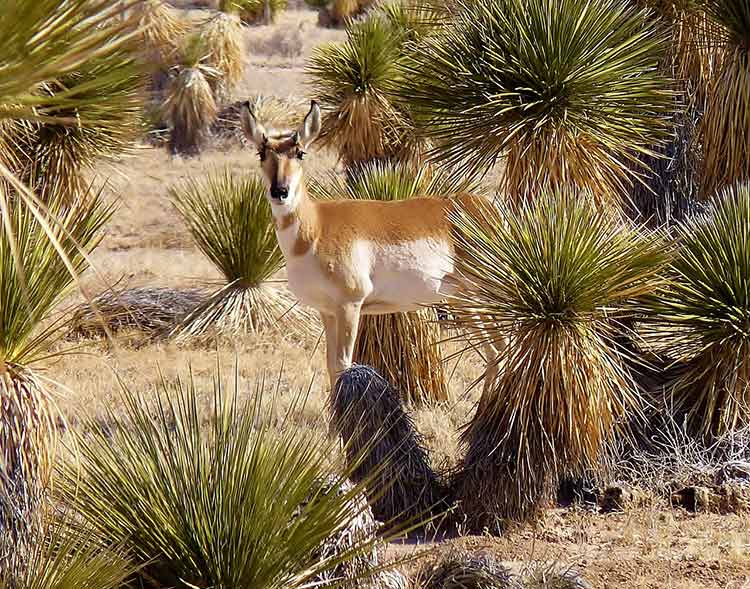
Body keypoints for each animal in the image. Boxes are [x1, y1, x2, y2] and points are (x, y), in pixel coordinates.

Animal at [241, 101, 502, 396]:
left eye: (300, 152)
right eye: (262, 152)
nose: (280, 191)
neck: (316, 227)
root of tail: (483, 206)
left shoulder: (349, 306)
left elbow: (343, 364)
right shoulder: (327, 311)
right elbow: (330, 366)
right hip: (465, 301)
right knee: (496, 350)